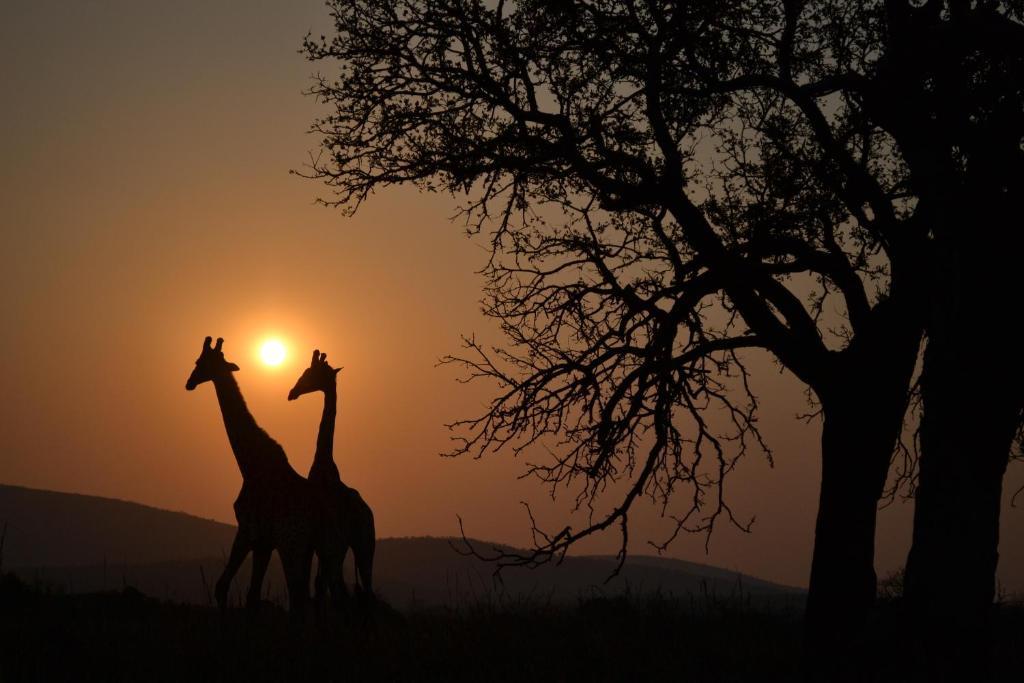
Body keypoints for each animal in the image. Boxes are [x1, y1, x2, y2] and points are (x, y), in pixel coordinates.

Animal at [184, 335, 344, 618]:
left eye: (200, 362)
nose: (189, 383)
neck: (250, 465)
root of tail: (324, 517)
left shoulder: (248, 529)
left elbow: (222, 588)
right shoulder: (264, 541)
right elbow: (251, 596)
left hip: (294, 546)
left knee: (301, 597)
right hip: (325, 550)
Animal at [288, 350, 376, 602]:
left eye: (312, 373)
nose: (292, 392)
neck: (323, 468)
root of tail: (367, 513)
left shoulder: (323, 544)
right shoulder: (317, 545)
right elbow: (315, 586)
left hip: (356, 546)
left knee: (351, 588)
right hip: (352, 547)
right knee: (350, 588)